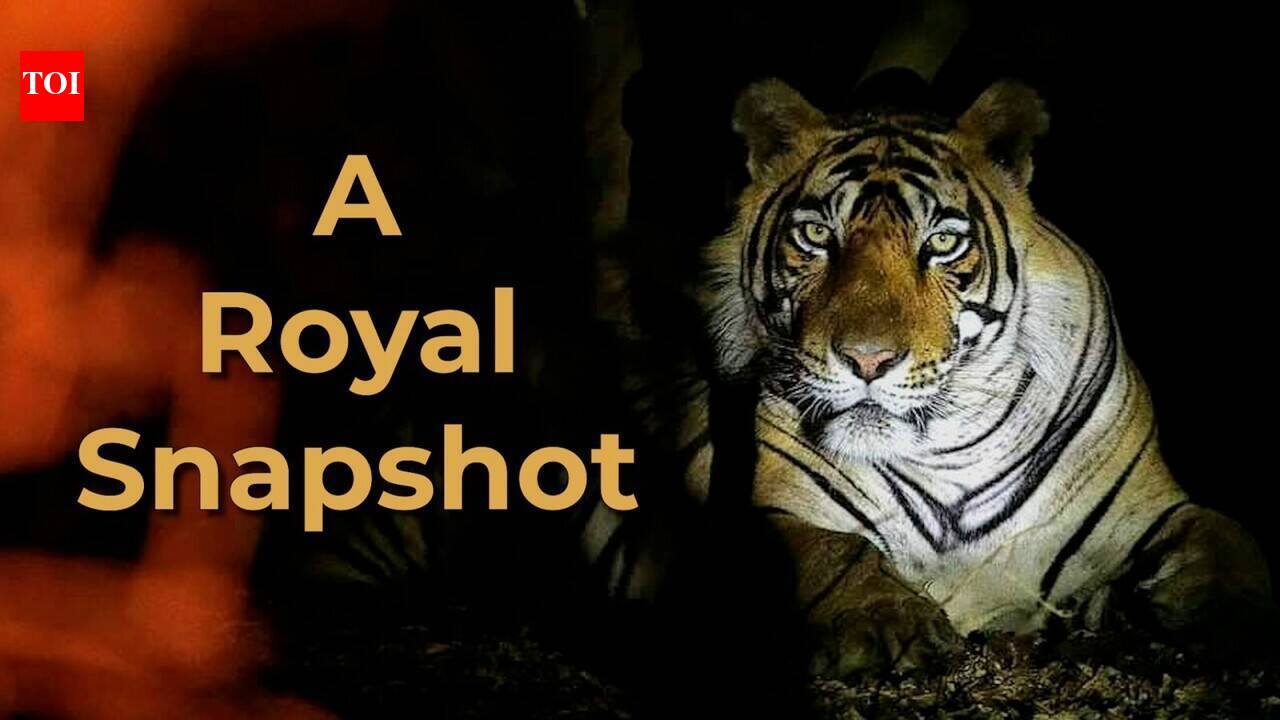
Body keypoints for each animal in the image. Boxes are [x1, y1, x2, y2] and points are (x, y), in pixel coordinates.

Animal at [583, 76, 1277, 676]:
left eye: (942, 244)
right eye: (815, 235)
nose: (867, 360)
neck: (949, 449)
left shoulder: (1144, 508)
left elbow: (1226, 536)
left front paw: (1232, 618)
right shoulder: (741, 510)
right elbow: (831, 548)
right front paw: (884, 623)